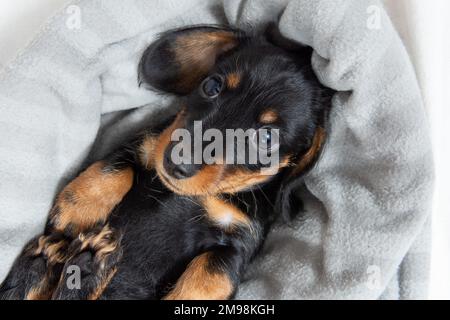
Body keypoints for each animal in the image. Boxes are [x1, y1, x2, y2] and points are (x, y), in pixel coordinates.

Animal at [0, 25, 330, 300]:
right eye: (211, 86)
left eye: (267, 138)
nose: (174, 163)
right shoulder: (145, 146)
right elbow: (115, 167)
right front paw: (78, 207)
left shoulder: (237, 244)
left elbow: (209, 278)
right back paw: (48, 266)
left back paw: (82, 267)